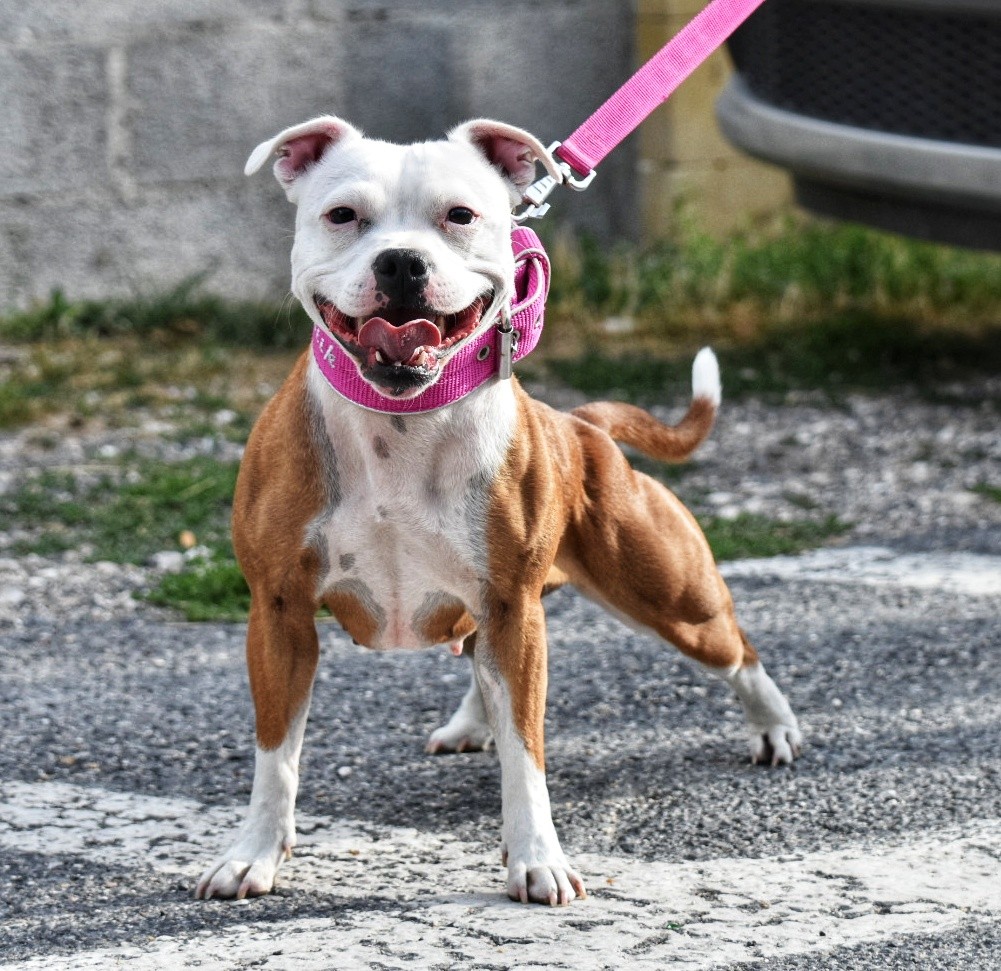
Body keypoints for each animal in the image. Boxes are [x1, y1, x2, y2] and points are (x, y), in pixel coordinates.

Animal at [194, 116, 801, 906]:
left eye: (460, 215)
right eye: (343, 215)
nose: (401, 263)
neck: (402, 420)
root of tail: (580, 426)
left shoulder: (513, 605)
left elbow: (526, 753)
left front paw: (537, 858)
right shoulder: (279, 613)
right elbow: (276, 754)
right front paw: (254, 854)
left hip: (669, 596)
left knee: (736, 652)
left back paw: (774, 726)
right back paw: (470, 720)